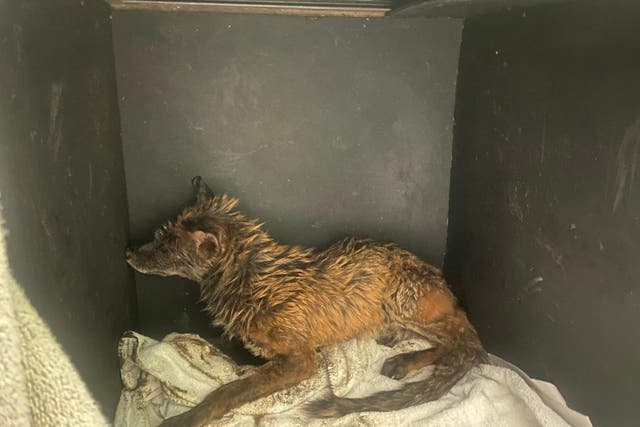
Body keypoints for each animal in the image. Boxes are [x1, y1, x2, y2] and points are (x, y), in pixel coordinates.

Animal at [125, 176, 487, 427]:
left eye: (165, 246)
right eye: (159, 237)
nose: (128, 253)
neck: (250, 282)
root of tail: (440, 280)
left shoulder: (301, 360)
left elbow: (229, 390)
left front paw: (190, 418)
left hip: (403, 301)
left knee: (468, 343)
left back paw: (411, 361)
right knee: (460, 343)